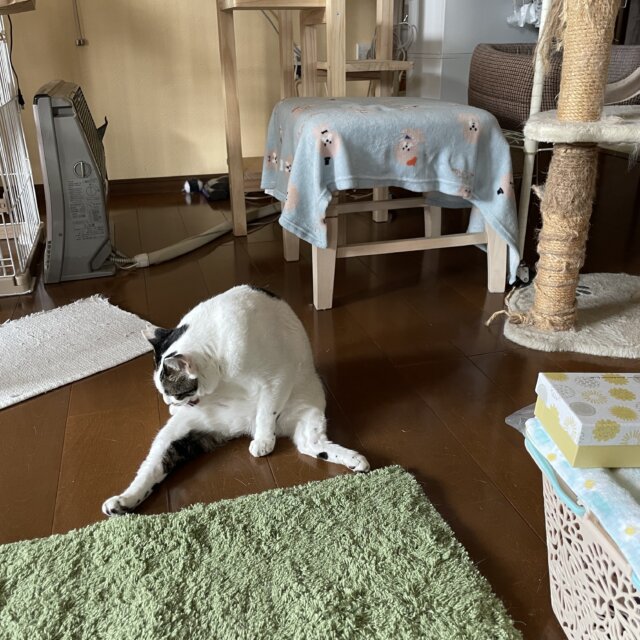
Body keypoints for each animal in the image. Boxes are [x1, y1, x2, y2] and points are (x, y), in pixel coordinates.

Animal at [102, 285, 370, 516]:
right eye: (164, 394)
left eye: (174, 393)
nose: (169, 405)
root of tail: (240, 427)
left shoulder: (277, 377)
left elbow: (267, 411)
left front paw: (263, 442)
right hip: (174, 432)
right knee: (152, 467)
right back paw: (121, 502)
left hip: (308, 406)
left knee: (310, 443)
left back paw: (355, 460)